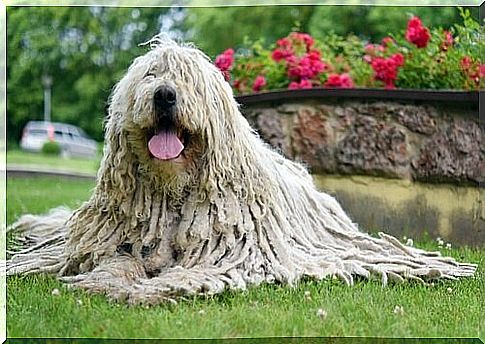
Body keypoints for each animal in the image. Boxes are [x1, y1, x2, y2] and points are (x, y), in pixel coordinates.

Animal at [6, 37, 476, 304]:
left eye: (189, 80)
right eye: (151, 76)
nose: (164, 95)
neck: (174, 190)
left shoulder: (235, 253)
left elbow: (197, 272)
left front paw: (154, 288)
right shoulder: (124, 242)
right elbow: (116, 261)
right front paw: (106, 281)